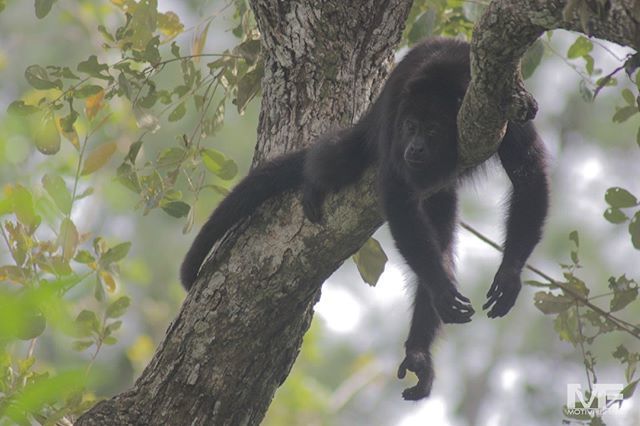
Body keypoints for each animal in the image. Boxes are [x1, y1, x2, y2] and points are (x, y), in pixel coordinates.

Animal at [180, 37, 549, 400]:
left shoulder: (504, 109)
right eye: (410, 127)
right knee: (338, 157)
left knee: (441, 241)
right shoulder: (398, 125)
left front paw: (509, 274)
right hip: (369, 134)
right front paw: (443, 289)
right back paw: (314, 180)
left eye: (431, 130)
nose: (414, 148)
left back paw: (418, 352)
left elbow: (528, 174)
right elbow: (398, 198)